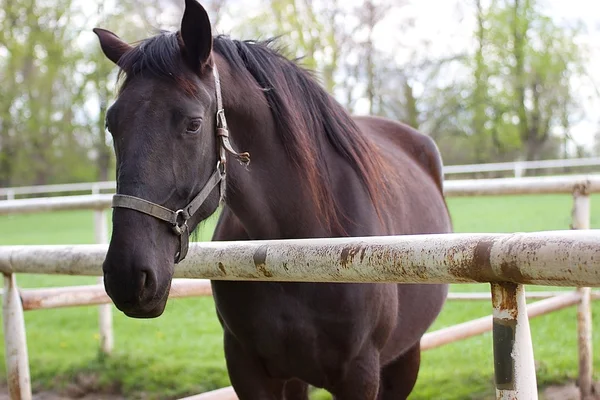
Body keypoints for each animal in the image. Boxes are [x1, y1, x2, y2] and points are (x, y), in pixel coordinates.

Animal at [94, 1, 450, 398]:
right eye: (112, 124)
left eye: (193, 124)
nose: (127, 276)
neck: (302, 248)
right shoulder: (247, 369)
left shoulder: (360, 375)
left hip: (405, 358)